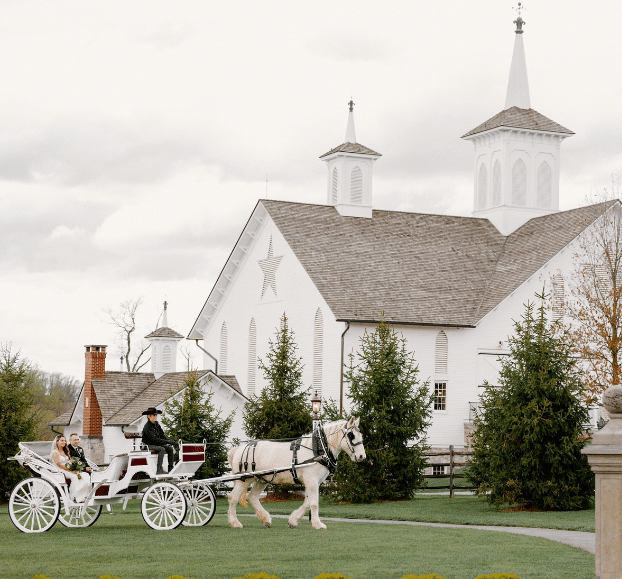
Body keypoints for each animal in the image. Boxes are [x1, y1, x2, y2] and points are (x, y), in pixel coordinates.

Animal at [228, 416, 366, 532]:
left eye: (361, 435)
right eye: (351, 435)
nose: (361, 456)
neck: (318, 449)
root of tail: (239, 449)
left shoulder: (314, 482)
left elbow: (307, 502)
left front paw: (293, 521)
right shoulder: (311, 480)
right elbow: (314, 503)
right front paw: (318, 524)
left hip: (261, 480)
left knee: (252, 497)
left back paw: (265, 519)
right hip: (244, 479)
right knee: (233, 497)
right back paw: (234, 522)